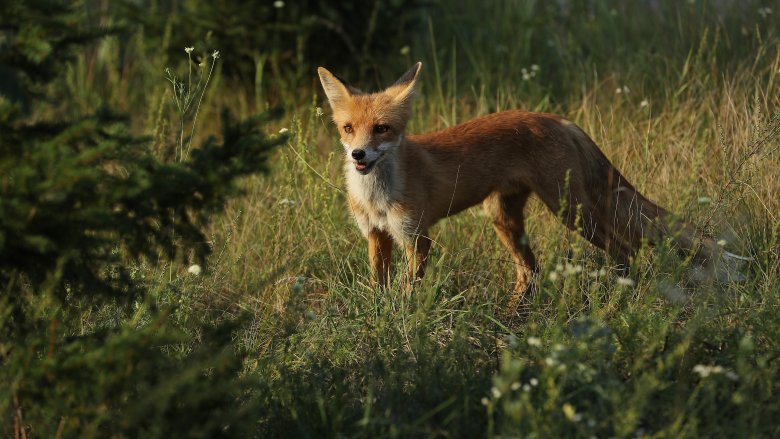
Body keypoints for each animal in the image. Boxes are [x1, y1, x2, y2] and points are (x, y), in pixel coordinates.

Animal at [318, 62, 748, 300]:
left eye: (382, 129)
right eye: (348, 128)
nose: (358, 156)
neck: (377, 198)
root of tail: (556, 118)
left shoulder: (416, 237)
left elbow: (408, 290)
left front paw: (403, 318)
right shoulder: (376, 235)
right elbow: (379, 287)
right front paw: (381, 315)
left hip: (571, 210)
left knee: (625, 249)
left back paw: (620, 296)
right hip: (504, 217)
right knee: (530, 272)